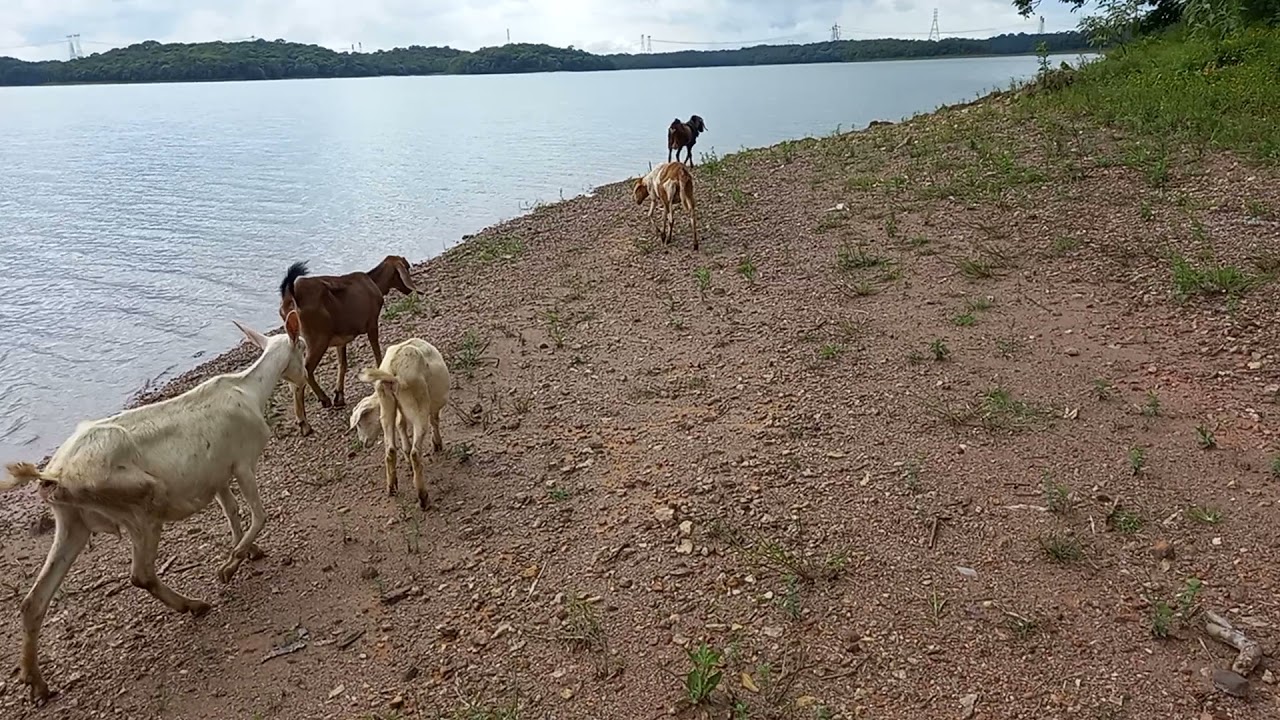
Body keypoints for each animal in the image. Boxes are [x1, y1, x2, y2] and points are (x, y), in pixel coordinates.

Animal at [0, 313, 306, 705]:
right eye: (302, 347)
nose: (304, 376)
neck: (249, 390)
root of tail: (54, 474)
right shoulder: (242, 462)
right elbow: (259, 515)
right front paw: (228, 566)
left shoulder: (216, 475)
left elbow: (233, 514)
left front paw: (246, 554)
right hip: (140, 503)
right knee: (140, 574)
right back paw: (195, 605)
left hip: (71, 521)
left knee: (33, 601)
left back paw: (36, 682)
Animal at [278, 255, 418, 436]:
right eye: (406, 268)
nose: (410, 290)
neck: (373, 282)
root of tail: (294, 296)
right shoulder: (372, 324)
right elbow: (377, 352)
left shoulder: (341, 339)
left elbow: (342, 364)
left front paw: (339, 396)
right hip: (318, 340)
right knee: (304, 373)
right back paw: (308, 419)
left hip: (297, 337)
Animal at [348, 338, 450, 509]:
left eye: (360, 423)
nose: (363, 443)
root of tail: (393, 371)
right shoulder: (432, 406)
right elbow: (434, 420)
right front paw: (437, 444)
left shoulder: (399, 414)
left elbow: (402, 430)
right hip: (419, 406)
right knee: (416, 452)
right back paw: (423, 497)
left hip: (387, 406)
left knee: (390, 450)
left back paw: (391, 488)